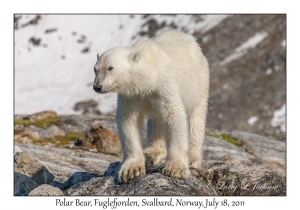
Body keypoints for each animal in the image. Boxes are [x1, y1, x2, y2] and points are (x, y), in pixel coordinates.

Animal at [93, 29, 209, 182]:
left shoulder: (164, 86)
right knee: (156, 121)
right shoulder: (132, 96)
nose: (97, 86)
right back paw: (152, 153)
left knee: (196, 118)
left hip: (199, 82)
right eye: (95, 69)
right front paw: (131, 169)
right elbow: (128, 120)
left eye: (110, 68)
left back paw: (193, 157)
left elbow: (174, 115)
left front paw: (176, 169)